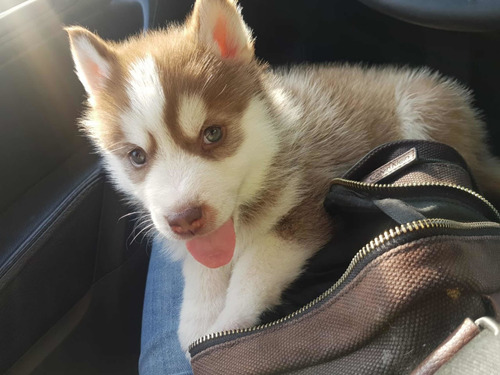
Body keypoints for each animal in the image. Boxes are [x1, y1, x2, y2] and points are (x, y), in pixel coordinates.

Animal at [65, 0, 500, 352]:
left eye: (213, 134)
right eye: (137, 156)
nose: (184, 220)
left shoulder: (307, 210)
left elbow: (253, 272)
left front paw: (226, 333)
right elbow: (204, 272)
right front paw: (199, 320)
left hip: (424, 108)